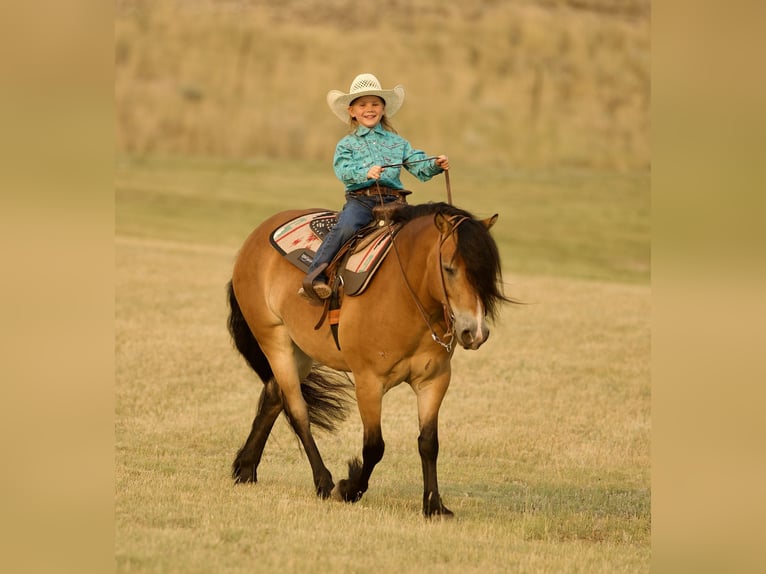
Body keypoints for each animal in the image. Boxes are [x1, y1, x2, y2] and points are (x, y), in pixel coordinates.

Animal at [226, 201, 510, 517]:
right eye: (448, 269)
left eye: (485, 274)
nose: (475, 332)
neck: (404, 297)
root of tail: (256, 236)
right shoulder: (369, 383)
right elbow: (374, 446)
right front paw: (348, 489)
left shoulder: (434, 381)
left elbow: (429, 443)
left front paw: (434, 505)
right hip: (275, 341)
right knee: (298, 411)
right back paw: (323, 481)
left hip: (301, 350)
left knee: (275, 396)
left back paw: (245, 468)